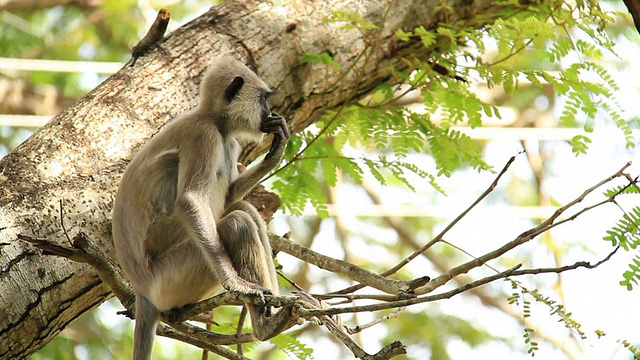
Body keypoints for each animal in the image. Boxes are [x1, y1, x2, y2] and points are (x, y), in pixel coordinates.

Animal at [114, 57, 292, 360]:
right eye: (263, 100)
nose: (269, 112)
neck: (214, 121)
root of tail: (142, 291)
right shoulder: (204, 136)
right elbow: (190, 201)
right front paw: (237, 285)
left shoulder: (229, 141)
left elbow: (231, 195)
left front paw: (276, 151)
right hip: (172, 277)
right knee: (236, 222)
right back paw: (263, 327)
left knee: (244, 209)